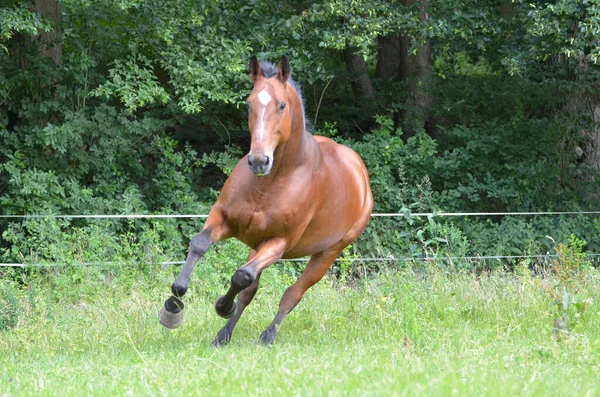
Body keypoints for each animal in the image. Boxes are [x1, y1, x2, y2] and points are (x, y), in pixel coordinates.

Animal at [159, 55, 376, 344]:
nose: (259, 161)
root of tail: (359, 170)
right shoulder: (225, 218)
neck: (269, 185)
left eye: (282, 105)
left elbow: (242, 275)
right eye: (249, 103)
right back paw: (223, 335)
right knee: (250, 289)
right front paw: (175, 300)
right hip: (257, 245)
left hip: (327, 253)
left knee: (292, 294)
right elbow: (199, 245)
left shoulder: (279, 243)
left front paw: (222, 306)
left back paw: (267, 335)